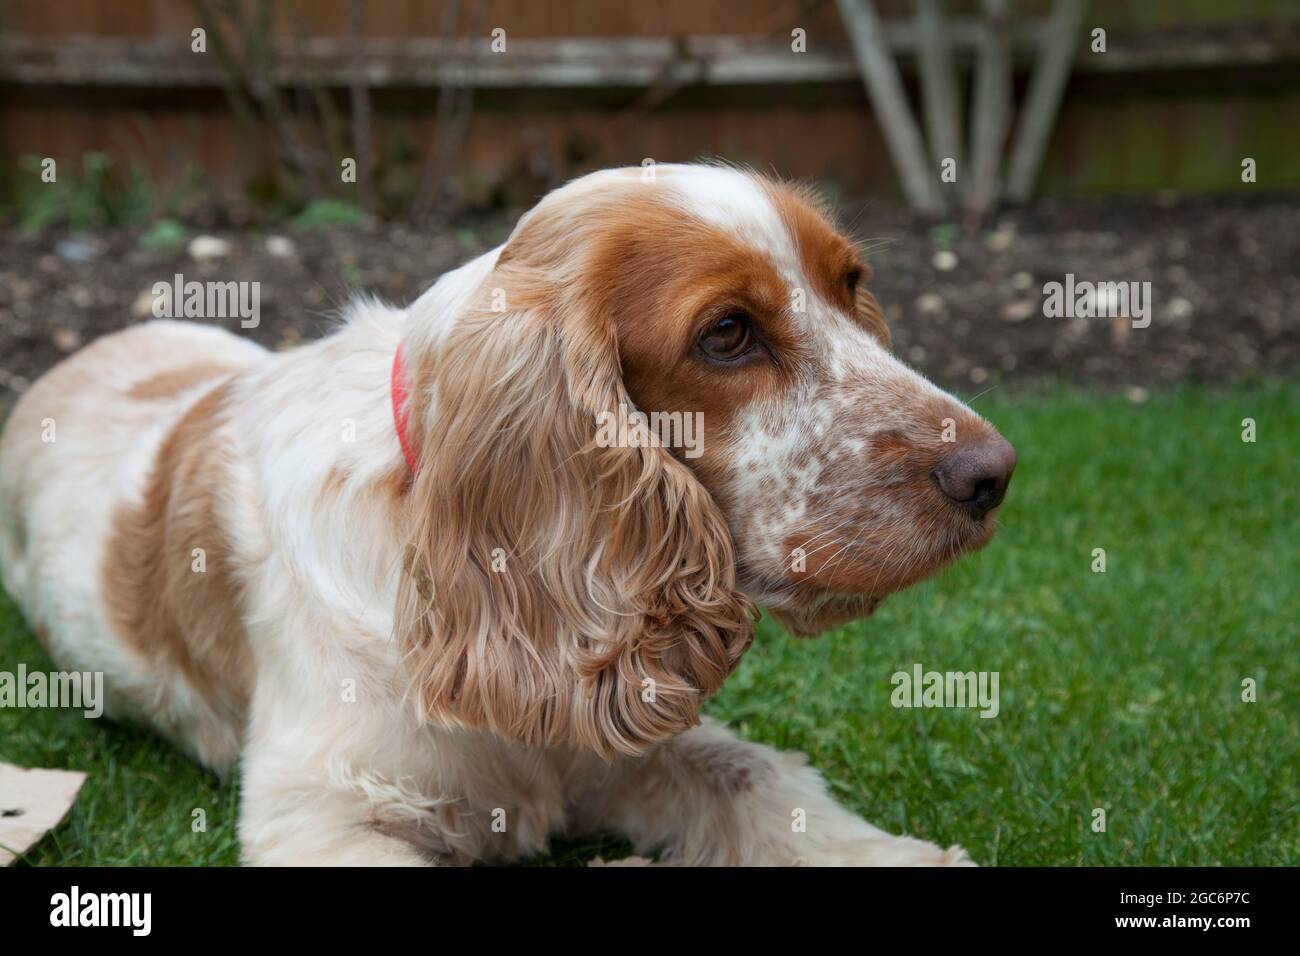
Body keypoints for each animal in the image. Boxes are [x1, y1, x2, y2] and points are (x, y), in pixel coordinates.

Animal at [0, 164, 1013, 868]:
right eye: (727, 334)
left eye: (852, 285)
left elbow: (755, 775)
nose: (994, 473)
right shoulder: (318, 814)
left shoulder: (626, 727)